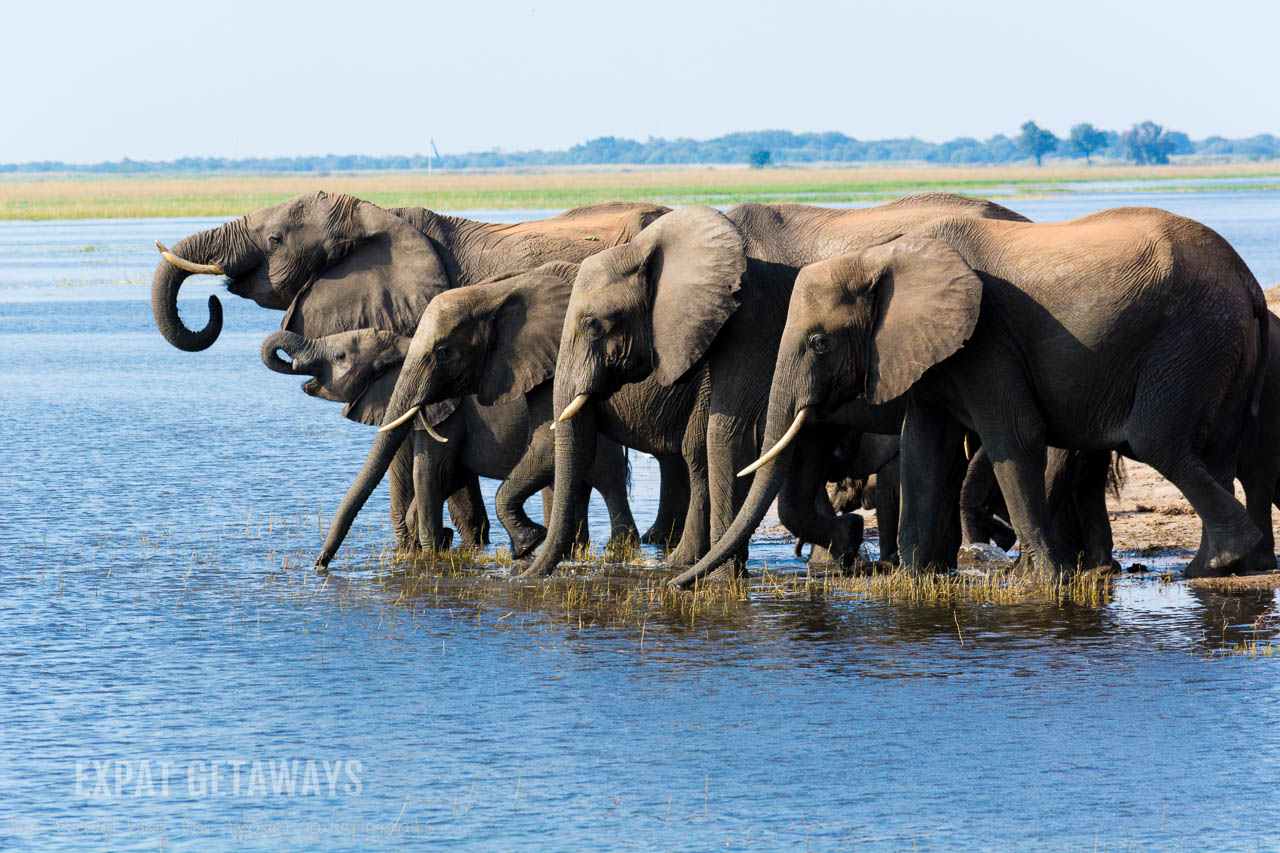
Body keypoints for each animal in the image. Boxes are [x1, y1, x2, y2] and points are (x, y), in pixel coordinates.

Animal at [309, 256, 711, 568]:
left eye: (443, 353)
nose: (320, 565)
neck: (494, 294)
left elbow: (436, 469)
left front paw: (521, 544)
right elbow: (446, 472)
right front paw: (447, 543)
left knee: (605, 474)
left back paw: (618, 548)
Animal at [527, 194, 1029, 578]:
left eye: (594, 325)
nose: (524, 574)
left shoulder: (755, 320)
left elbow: (724, 435)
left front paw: (717, 580)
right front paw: (843, 546)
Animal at [680, 204, 1269, 584]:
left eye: (820, 342)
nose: (676, 584)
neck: (881, 256)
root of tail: (1248, 283)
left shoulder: (987, 338)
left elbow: (1013, 437)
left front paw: (1041, 580)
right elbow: (924, 447)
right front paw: (917, 579)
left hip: (1189, 340)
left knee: (1156, 442)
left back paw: (1215, 565)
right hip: (1217, 349)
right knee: (1217, 451)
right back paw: (1236, 565)